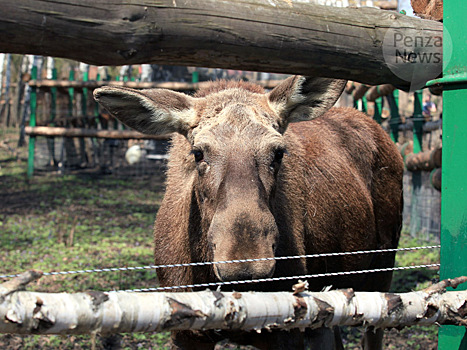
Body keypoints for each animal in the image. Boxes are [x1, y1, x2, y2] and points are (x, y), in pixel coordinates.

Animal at [93, 77, 404, 350]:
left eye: (278, 152)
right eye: (198, 152)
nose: (246, 265)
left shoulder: (285, 332)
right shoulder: (186, 332)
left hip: (382, 271)